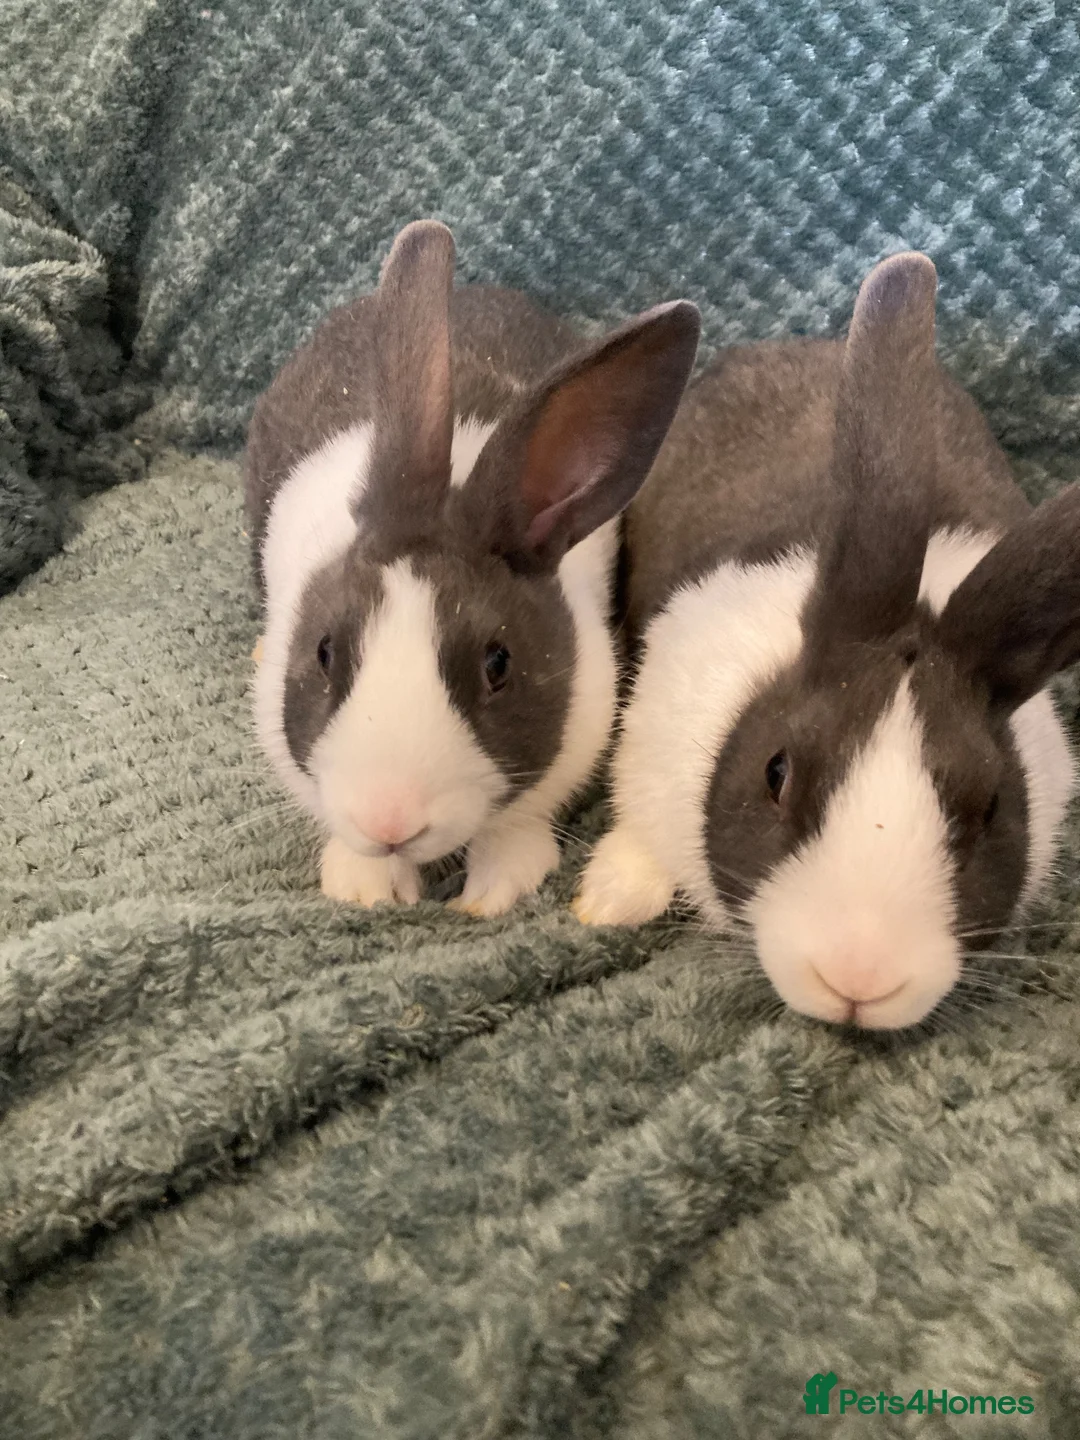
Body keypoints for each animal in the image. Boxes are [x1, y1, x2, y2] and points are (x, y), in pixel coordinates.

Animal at [244, 219, 700, 915]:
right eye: (323, 652)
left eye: (498, 665)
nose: (389, 821)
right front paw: (367, 889)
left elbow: (517, 827)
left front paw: (491, 894)